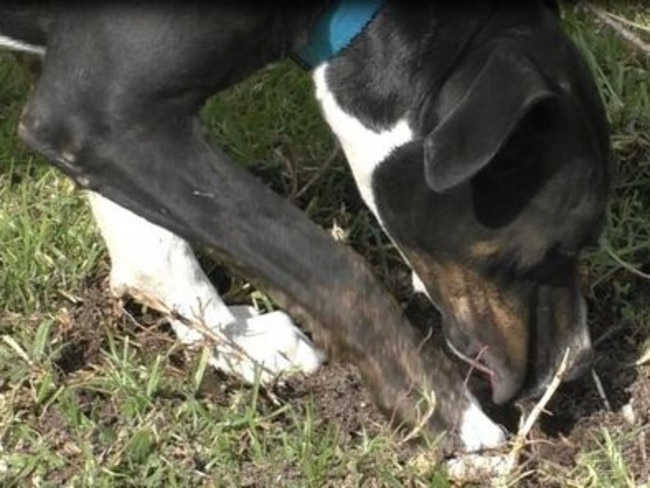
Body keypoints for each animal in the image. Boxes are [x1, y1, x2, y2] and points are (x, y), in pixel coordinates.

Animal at [0, 0, 608, 452]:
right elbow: (333, 269)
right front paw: (444, 414)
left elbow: (151, 243)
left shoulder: (103, 125)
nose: (578, 365)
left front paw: (230, 339)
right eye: (555, 250)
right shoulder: (100, 117)